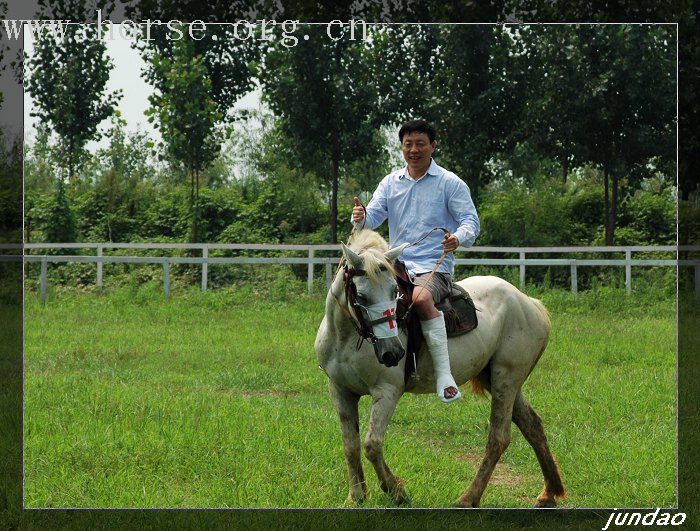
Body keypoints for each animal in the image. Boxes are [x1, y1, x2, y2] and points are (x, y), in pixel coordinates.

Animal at [314, 231, 568, 510]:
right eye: (361, 297)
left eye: (394, 291)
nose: (393, 352)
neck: (346, 338)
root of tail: (529, 302)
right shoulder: (340, 390)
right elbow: (351, 445)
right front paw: (356, 495)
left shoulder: (387, 391)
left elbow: (372, 444)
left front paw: (396, 491)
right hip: (500, 380)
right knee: (532, 425)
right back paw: (549, 493)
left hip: (507, 378)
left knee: (498, 438)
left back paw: (468, 498)